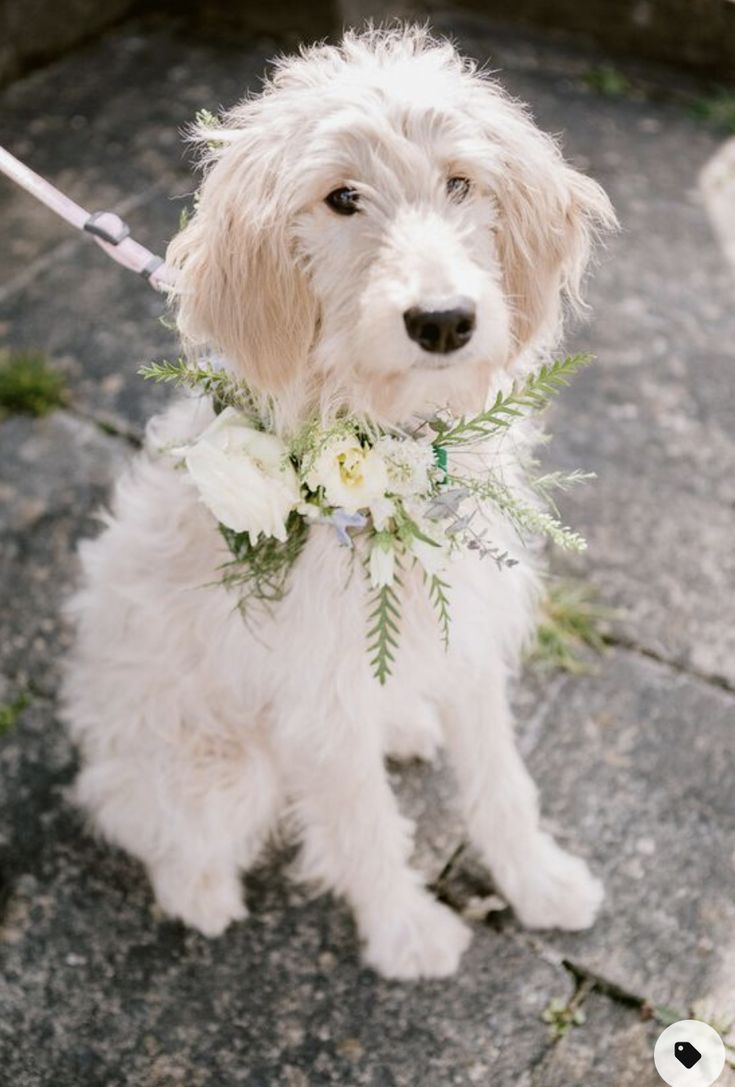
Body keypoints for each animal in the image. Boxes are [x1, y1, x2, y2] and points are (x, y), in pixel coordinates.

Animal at [61, 27, 613, 978]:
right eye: (342, 198)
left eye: (459, 182)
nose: (443, 321)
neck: (397, 443)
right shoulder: (318, 699)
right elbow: (361, 821)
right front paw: (404, 933)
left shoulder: (467, 635)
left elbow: (500, 782)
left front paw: (539, 883)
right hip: (216, 768)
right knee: (145, 822)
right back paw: (200, 895)